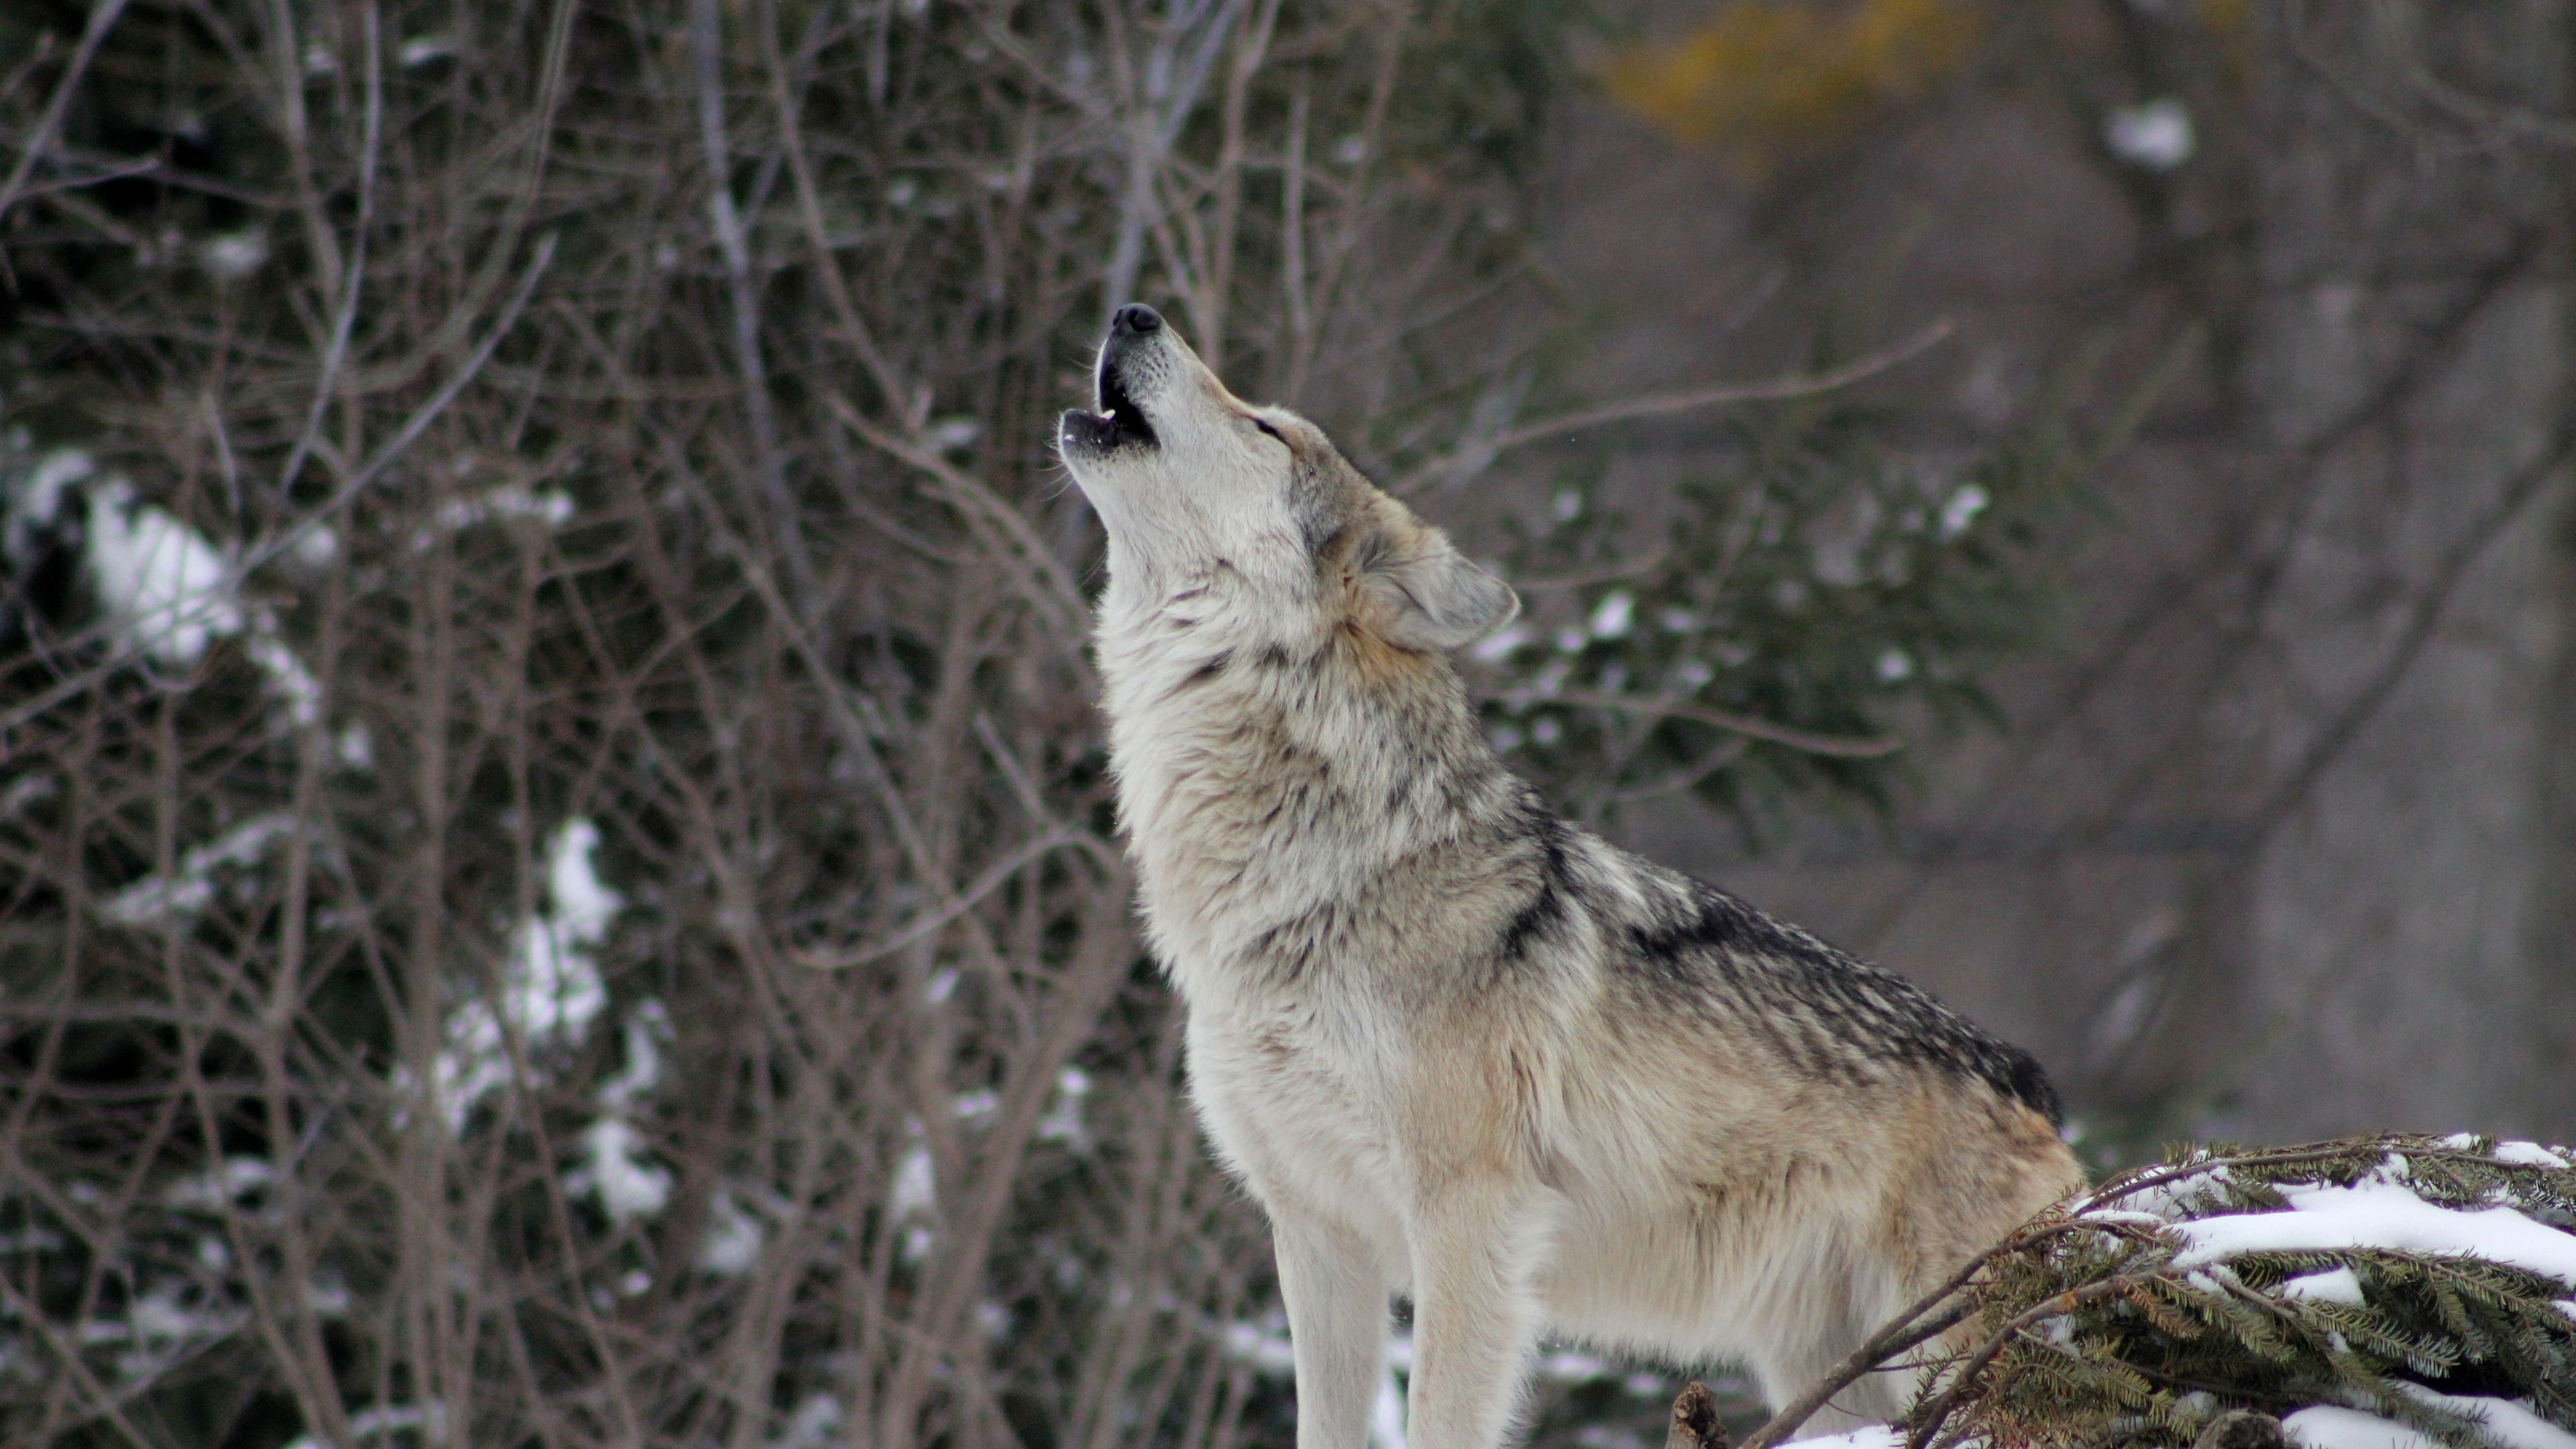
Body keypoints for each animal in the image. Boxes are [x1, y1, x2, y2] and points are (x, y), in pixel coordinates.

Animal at [1057, 304, 2083, 1449]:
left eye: (1268, 427)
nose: (1133, 312)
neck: (1316, 875)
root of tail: (2031, 1083)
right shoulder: (1318, 1234)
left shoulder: (1470, 1218)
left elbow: (1440, 1420)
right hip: (1832, 1368)